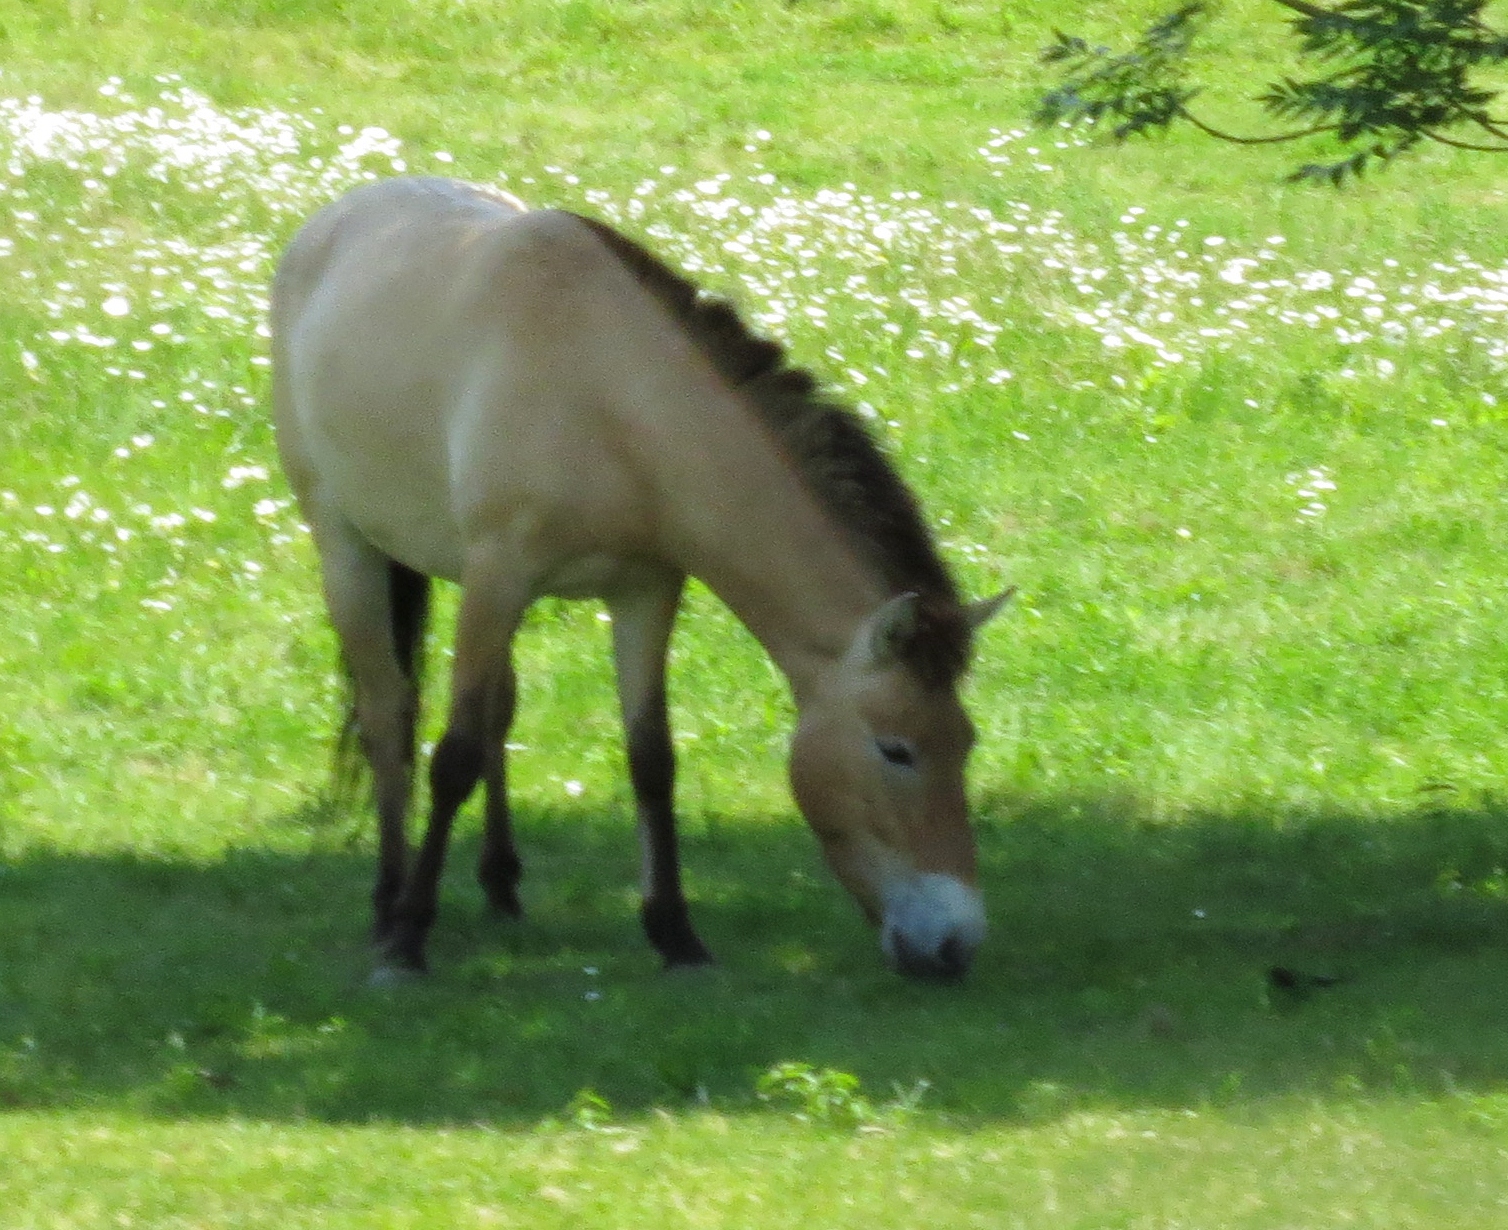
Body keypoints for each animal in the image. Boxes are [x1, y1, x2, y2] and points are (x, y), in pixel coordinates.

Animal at [270, 176, 1010, 982]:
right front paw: (408, 940)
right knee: (388, 714)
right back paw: (387, 903)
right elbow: (454, 756)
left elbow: (651, 759)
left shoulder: (644, 592)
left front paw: (676, 935)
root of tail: (337, 216)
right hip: (348, 549)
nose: (956, 944)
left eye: (966, 742)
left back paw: (501, 885)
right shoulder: (502, 575)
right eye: (896, 750)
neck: (607, 394)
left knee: (496, 712)